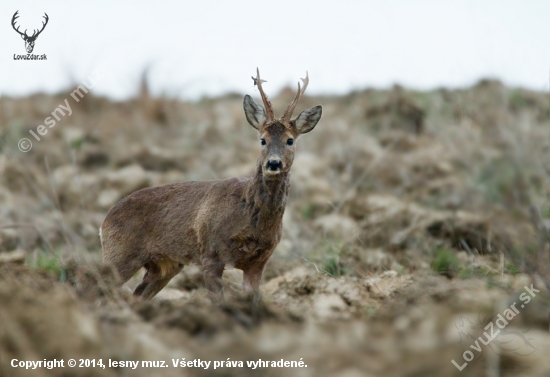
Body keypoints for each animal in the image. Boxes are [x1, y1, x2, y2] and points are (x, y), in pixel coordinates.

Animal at [101, 68, 322, 300]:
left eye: (290, 140)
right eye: (262, 139)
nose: (273, 163)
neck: (249, 214)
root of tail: (104, 221)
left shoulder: (259, 262)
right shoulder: (211, 252)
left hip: (164, 265)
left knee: (138, 295)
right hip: (120, 254)